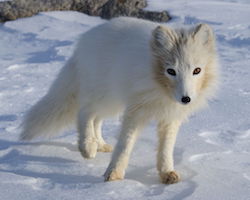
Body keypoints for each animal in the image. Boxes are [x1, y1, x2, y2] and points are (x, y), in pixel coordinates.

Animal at [20, 17, 218, 184]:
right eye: (171, 71)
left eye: (197, 70)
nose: (186, 99)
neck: (161, 90)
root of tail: (85, 39)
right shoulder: (135, 111)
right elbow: (125, 144)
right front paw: (114, 174)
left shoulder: (170, 117)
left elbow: (166, 148)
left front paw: (167, 173)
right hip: (106, 96)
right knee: (85, 112)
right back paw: (87, 146)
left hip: (112, 103)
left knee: (96, 119)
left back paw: (99, 144)